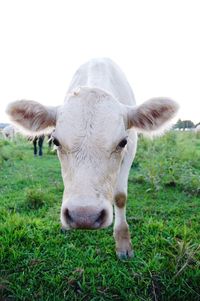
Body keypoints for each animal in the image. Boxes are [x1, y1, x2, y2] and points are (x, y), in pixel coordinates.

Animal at [5, 58, 178, 258]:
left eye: (122, 142)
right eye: (56, 141)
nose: (84, 216)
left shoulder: (131, 150)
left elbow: (120, 197)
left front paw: (123, 242)